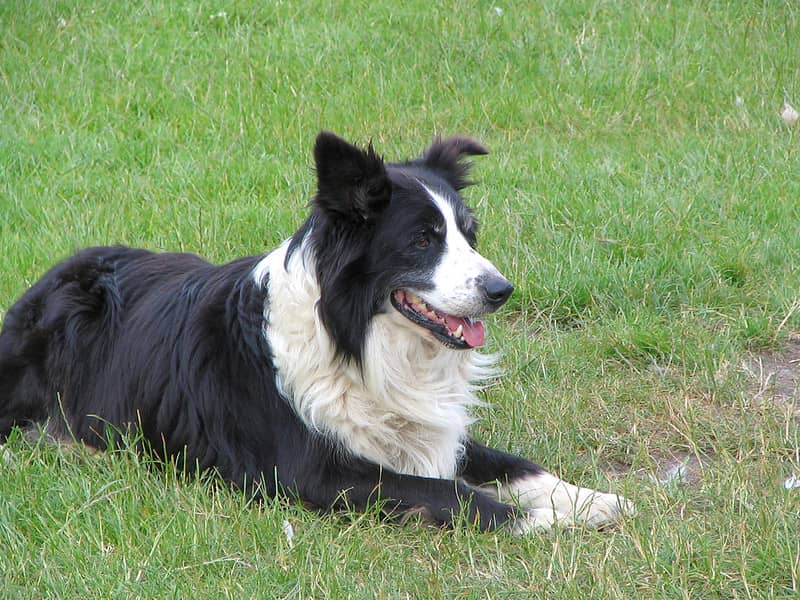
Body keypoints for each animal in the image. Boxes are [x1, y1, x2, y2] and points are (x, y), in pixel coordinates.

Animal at [0, 132, 636, 536]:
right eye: (423, 239)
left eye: (469, 234)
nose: (502, 290)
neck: (356, 342)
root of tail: (48, 278)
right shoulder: (320, 473)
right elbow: (453, 494)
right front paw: (549, 521)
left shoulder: (433, 435)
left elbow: (519, 466)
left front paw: (593, 500)